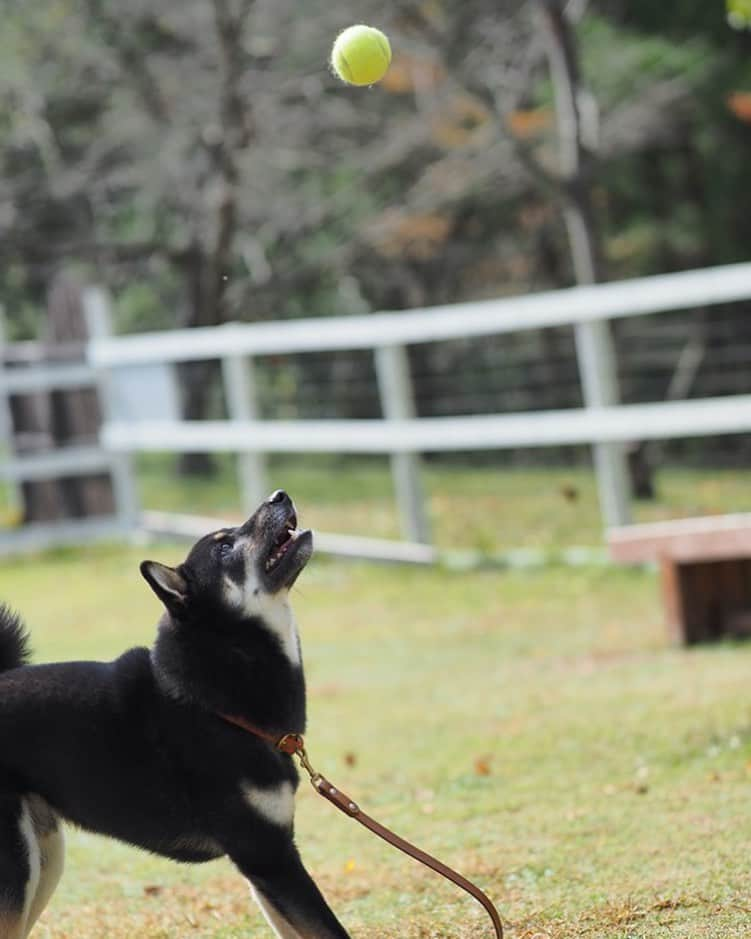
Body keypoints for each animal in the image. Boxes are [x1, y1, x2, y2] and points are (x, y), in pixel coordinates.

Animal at [0, 492, 352, 939]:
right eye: (224, 547)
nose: (278, 495)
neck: (217, 703)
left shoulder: (264, 867)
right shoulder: (268, 856)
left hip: (44, 860)